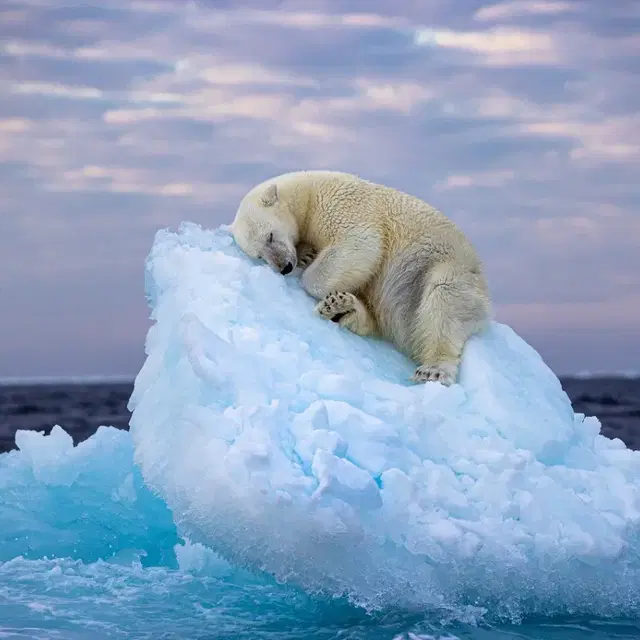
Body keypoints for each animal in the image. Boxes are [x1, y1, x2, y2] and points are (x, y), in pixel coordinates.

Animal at [232, 170, 492, 384]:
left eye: (270, 236)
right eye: (259, 255)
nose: (285, 266)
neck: (307, 193)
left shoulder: (342, 205)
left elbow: (360, 244)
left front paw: (309, 270)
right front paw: (307, 255)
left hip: (445, 269)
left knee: (444, 300)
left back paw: (434, 369)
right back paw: (341, 308)